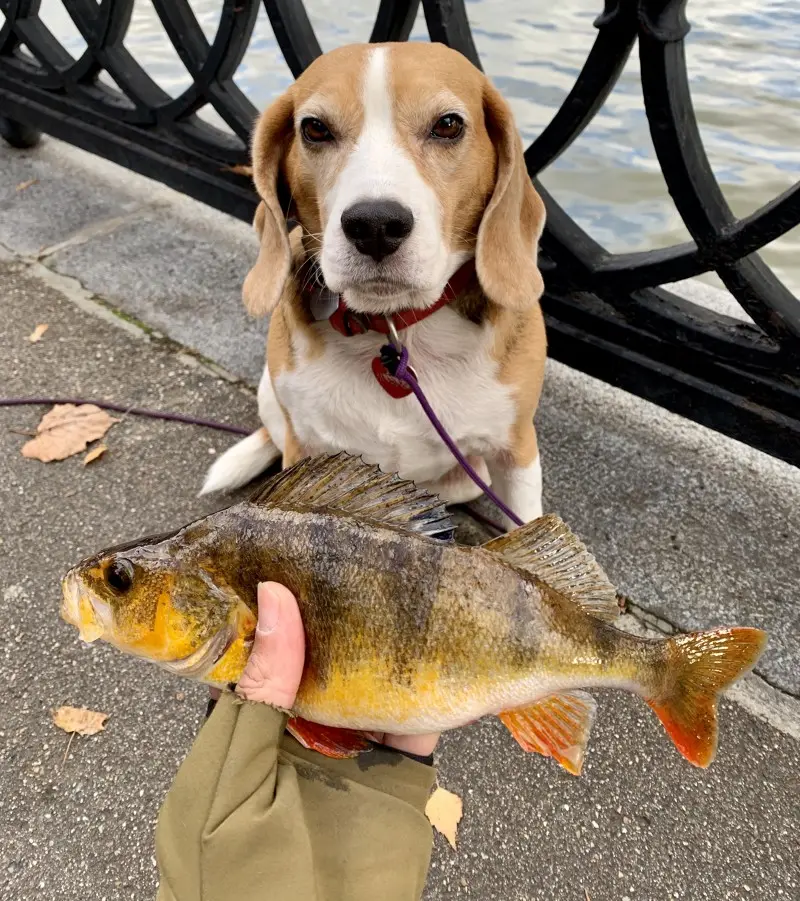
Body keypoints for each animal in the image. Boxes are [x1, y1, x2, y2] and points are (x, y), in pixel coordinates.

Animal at [203, 42, 548, 528]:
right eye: (315, 128)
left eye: (448, 125)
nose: (375, 225)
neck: (396, 325)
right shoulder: (306, 448)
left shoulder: (516, 453)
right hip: (271, 393)